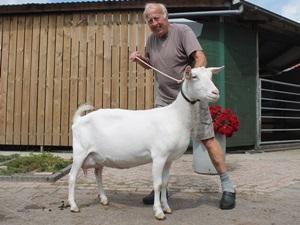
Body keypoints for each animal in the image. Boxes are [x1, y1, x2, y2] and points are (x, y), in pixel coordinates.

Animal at [68, 65, 223, 220]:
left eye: (210, 76)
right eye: (194, 76)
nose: (216, 93)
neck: (175, 116)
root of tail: (78, 120)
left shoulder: (169, 159)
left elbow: (165, 183)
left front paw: (167, 208)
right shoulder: (159, 156)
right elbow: (157, 184)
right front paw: (159, 212)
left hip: (98, 155)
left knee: (98, 174)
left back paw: (104, 199)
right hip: (80, 152)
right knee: (72, 177)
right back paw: (74, 206)